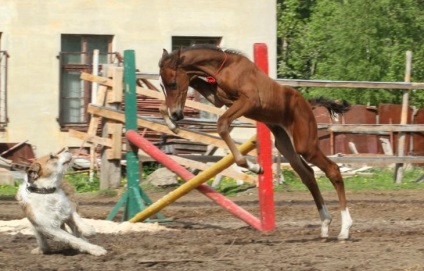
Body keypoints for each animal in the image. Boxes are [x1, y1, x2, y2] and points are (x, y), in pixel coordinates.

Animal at [157, 45, 352, 242]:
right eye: (162, 85)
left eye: (172, 83)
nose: (176, 114)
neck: (225, 67)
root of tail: (307, 104)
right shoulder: (219, 99)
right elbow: (173, 100)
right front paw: (172, 125)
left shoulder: (249, 101)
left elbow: (222, 125)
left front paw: (255, 167)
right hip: (285, 144)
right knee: (309, 176)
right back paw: (325, 224)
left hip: (305, 144)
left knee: (332, 170)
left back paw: (345, 229)